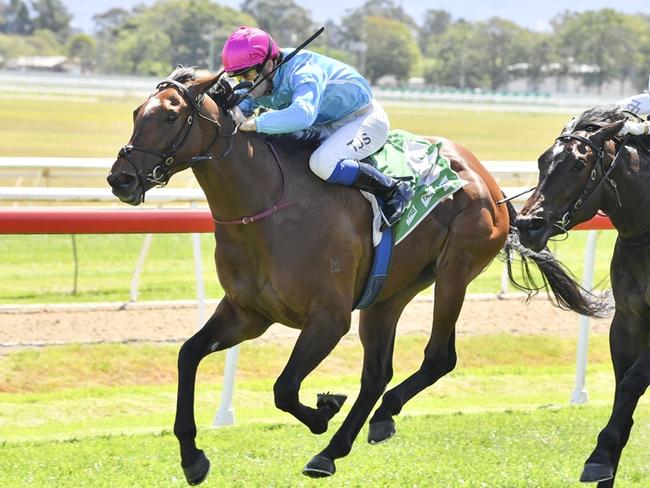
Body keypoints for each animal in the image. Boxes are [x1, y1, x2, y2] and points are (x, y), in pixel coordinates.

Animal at [107, 67, 608, 484]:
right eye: (135, 113)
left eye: (170, 116)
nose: (120, 179)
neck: (267, 207)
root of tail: (491, 183)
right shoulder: (248, 313)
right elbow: (188, 355)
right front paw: (192, 458)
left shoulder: (328, 319)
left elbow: (284, 388)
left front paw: (324, 408)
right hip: (389, 294)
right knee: (377, 373)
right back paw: (336, 448)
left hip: (454, 273)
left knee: (437, 357)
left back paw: (372, 421)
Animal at [512, 105, 644, 486]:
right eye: (543, 160)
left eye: (577, 165)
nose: (527, 225)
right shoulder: (627, 324)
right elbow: (623, 399)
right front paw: (606, 464)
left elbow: (630, 384)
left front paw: (598, 457)